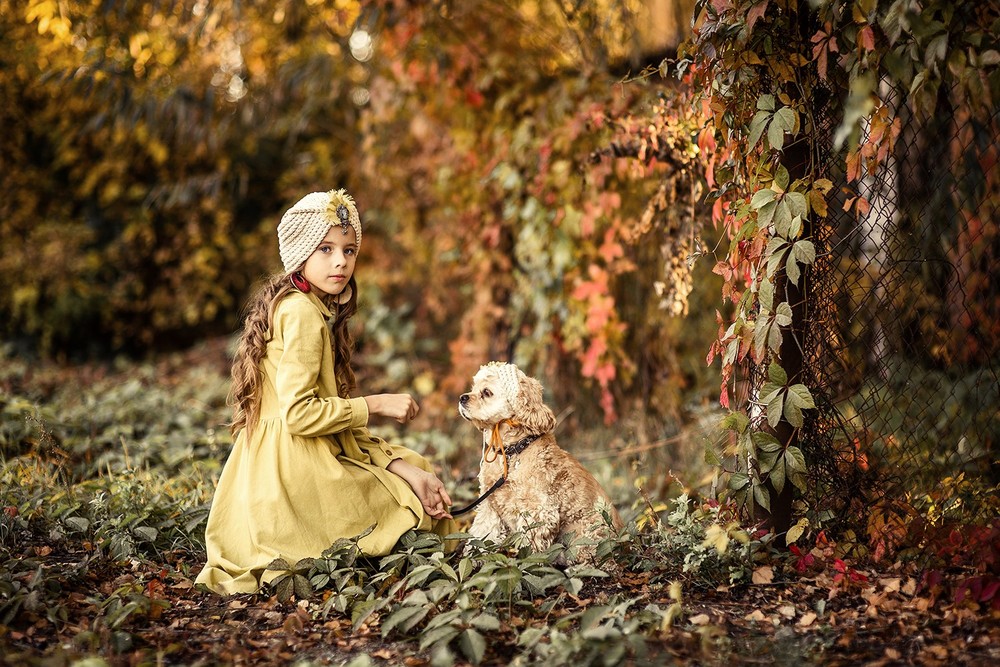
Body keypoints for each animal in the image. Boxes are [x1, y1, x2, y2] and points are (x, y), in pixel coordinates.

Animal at [458, 362, 620, 560]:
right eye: (473, 388)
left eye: (487, 392)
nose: (462, 398)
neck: (512, 452)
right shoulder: (489, 506)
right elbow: (483, 533)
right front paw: (475, 558)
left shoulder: (538, 512)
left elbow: (530, 548)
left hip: (583, 538)